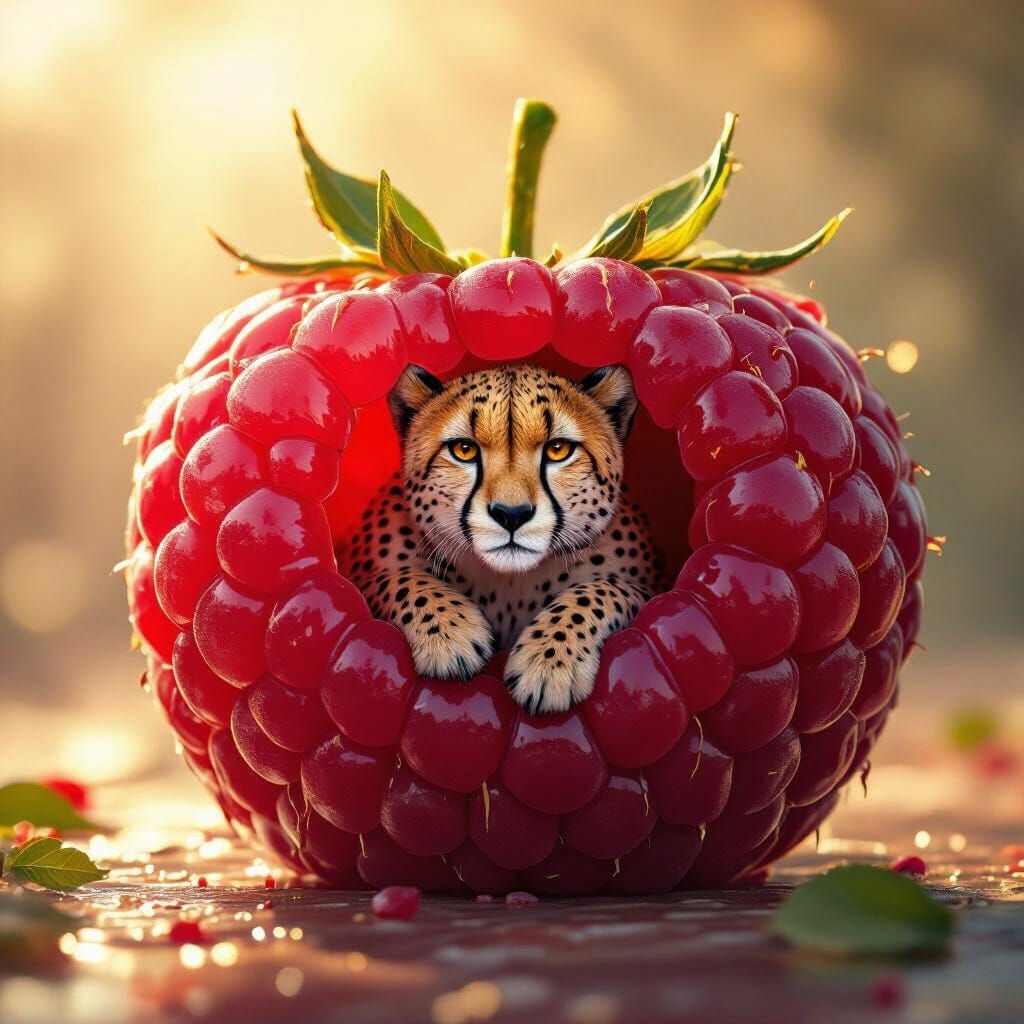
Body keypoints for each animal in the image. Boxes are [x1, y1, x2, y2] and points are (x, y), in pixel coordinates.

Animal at [341, 362, 660, 714]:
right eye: (463, 450)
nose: (512, 514)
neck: (509, 583)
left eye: (558, 450)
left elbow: (604, 590)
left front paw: (549, 661)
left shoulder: (648, 589)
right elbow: (400, 578)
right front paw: (449, 633)